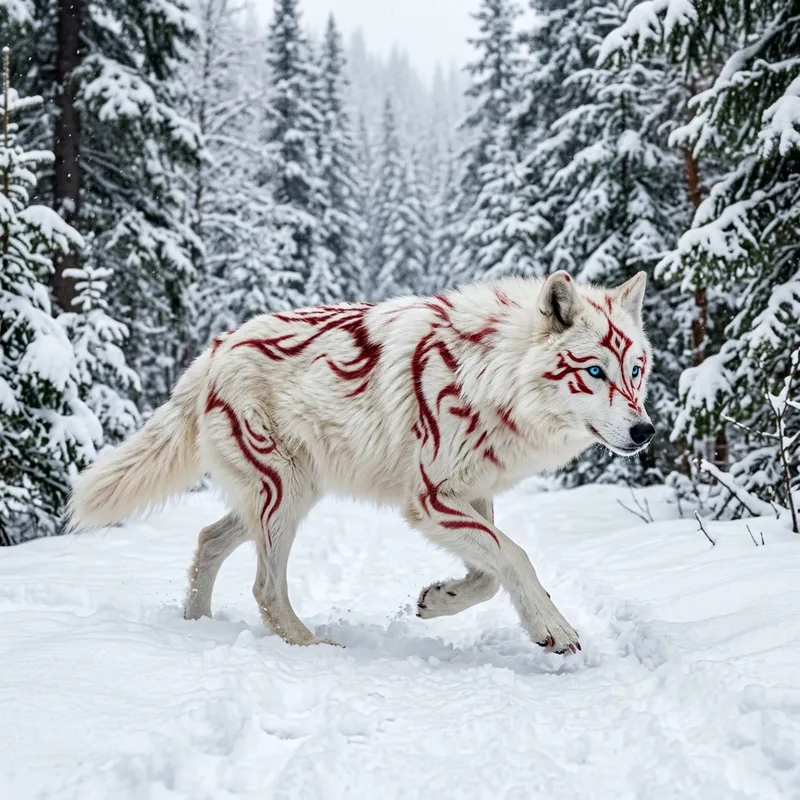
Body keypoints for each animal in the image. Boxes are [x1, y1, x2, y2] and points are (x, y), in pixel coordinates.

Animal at [68, 270, 654, 654]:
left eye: (636, 370)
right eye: (595, 371)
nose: (645, 431)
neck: (490, 374)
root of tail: (211, 353)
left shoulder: (470, 495)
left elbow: (488, 575)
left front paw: (437, 600)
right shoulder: (430, 501)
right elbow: (516, 557)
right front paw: (554, 628)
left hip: (283, 498)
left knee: (208, 540)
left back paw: (197, 626)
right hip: (286, 497)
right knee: (265, 589)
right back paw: (312, 646)